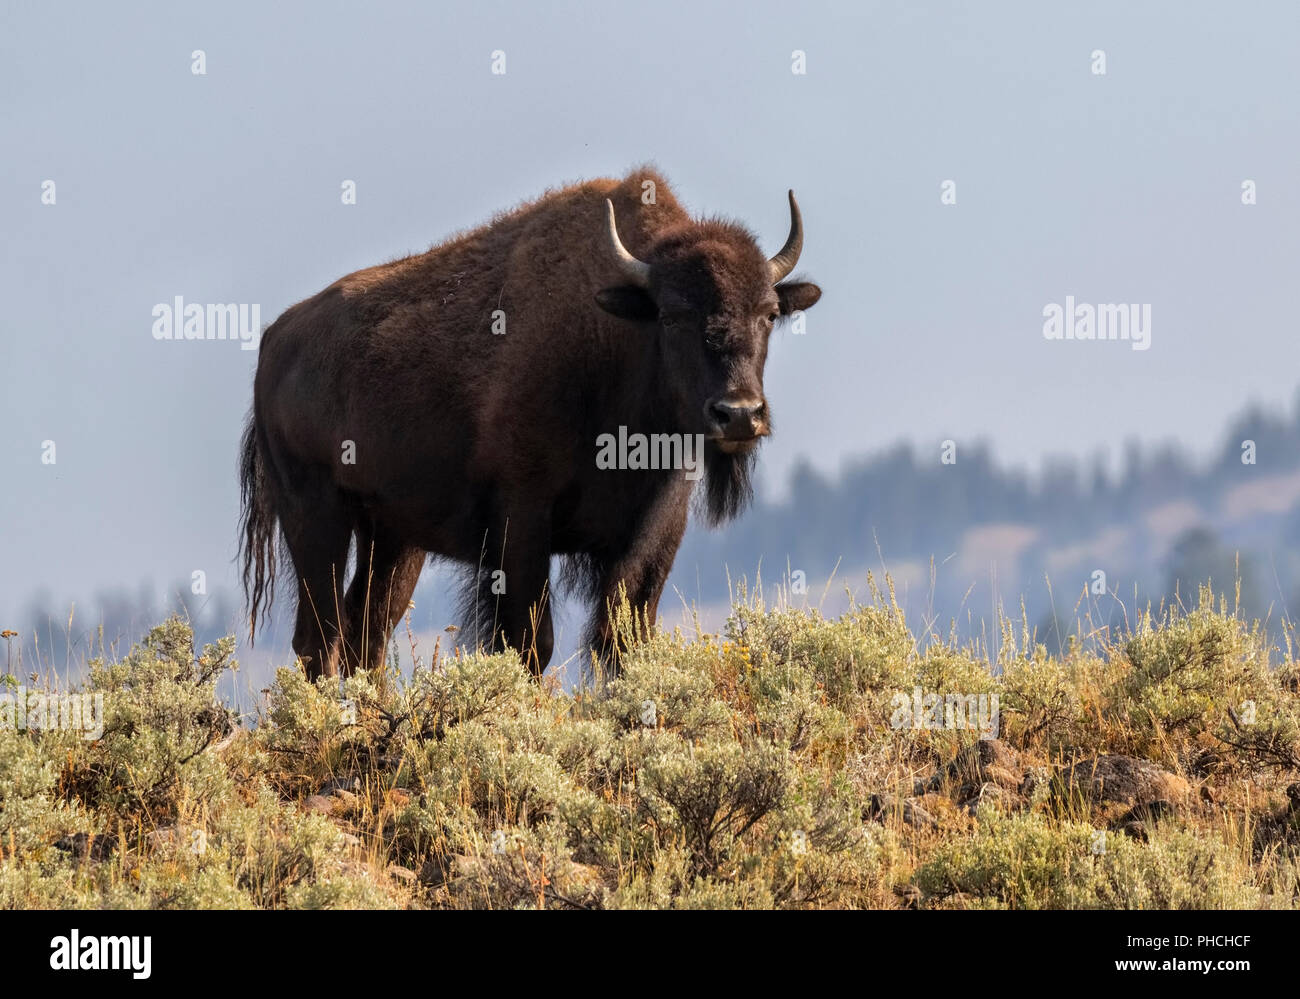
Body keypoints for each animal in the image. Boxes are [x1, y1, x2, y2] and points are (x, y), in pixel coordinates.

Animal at [239, 169, 816, 676]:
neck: (615, 336)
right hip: (317, 518)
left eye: (768, 313)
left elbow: (622, 642)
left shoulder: (652, 535)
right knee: (320, 637)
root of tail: (276, 340)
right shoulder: (521, 520)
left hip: (394, 539)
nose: (739, 413)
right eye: (672, 316)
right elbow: (530, 643)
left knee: (367, 630)